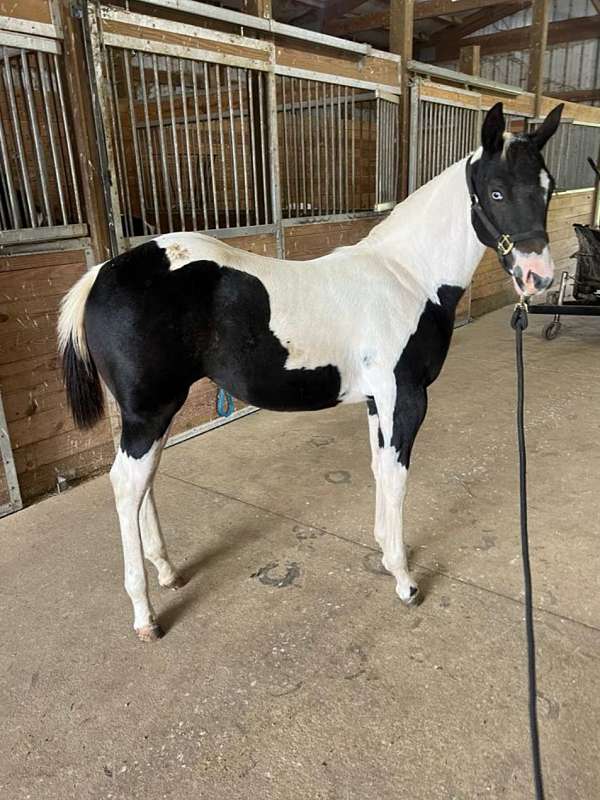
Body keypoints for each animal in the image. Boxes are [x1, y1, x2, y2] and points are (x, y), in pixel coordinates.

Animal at [56, 100, 564, 640]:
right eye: (497, 191)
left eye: (548, 186)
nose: (538, 277)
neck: (408, 276)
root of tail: (102, 272)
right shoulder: (405, 397)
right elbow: (397, 477)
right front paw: (404, 579)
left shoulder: (376, 401)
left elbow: (378, 468)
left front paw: (384, 550)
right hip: (149, 411)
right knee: (126, 486)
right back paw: (145, 615)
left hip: (152, 413)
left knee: (144, 482)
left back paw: (168, 572)